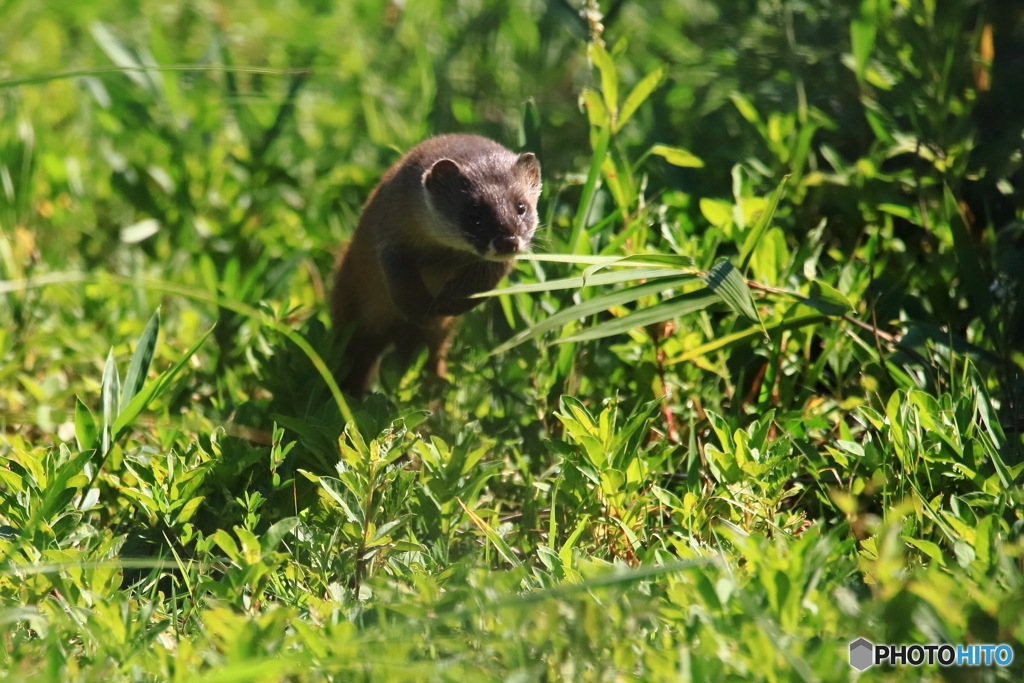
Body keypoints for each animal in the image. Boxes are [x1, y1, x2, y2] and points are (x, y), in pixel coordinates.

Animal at [333, 133, 544, 395]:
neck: (440, 255)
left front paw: (447, 302)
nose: (507, 241)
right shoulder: (389, 236)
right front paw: (421, 309)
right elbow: (398, 276)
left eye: (521, 206)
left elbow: (480, 286)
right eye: (474, 210)